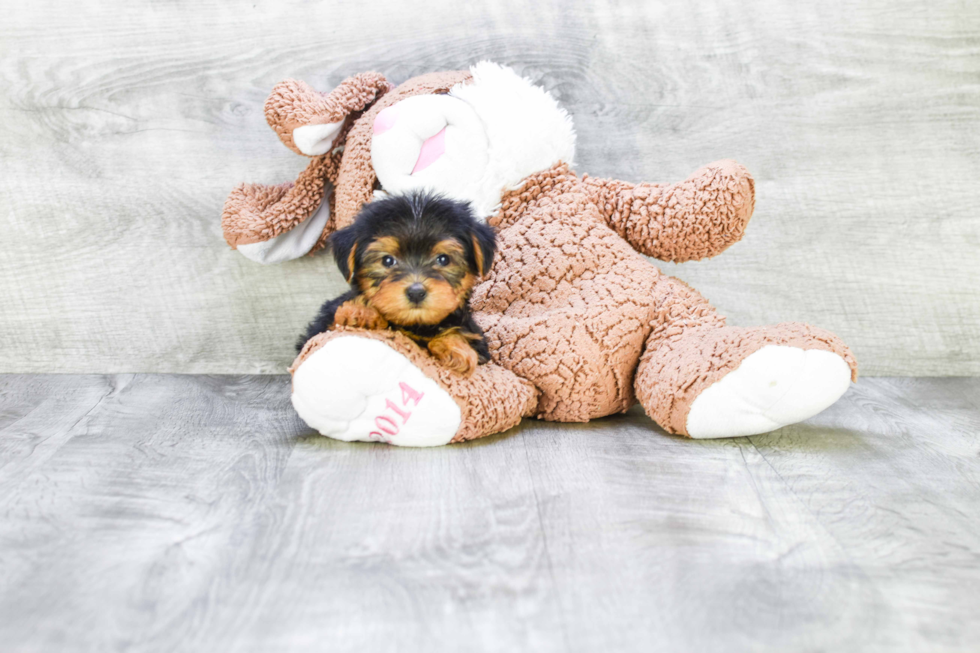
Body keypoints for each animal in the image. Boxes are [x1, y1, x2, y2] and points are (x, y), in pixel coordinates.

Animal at [296, 192, 498, 376]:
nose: (416, 292)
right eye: (387, 261)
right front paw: (361, 312)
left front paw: (455, 347)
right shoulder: (322, 325)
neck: (414, 324)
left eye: (443, 259)